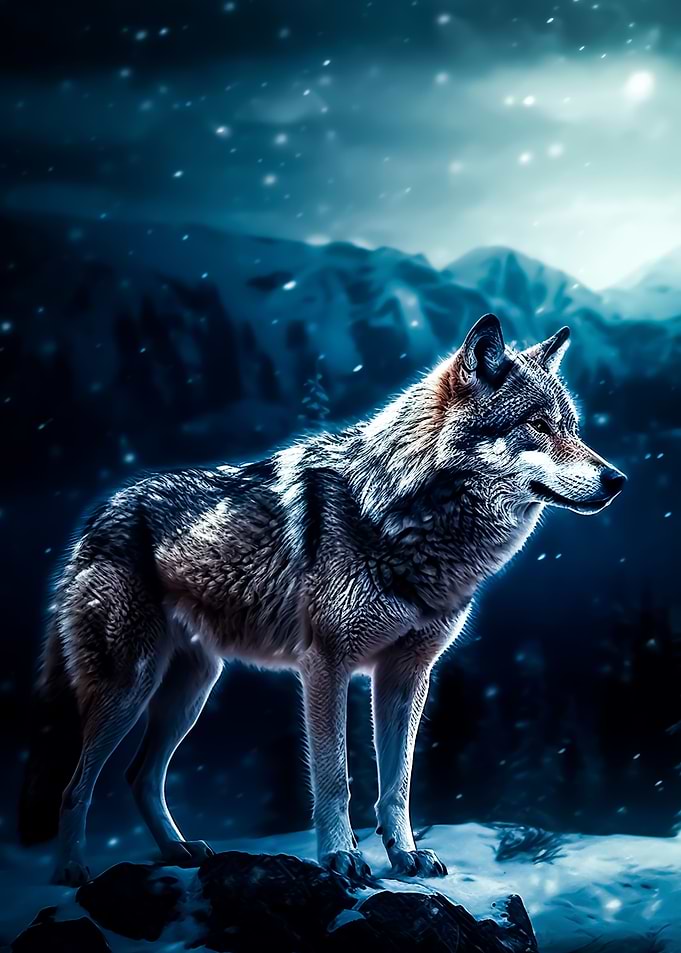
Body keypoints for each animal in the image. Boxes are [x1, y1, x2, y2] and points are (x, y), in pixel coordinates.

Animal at [19, 314, 625, 886]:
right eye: (538, 426)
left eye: (572, 428)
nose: (617, 479)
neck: (408, 517)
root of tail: (96, 513)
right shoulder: (325, 665)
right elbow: (336, 776)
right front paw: (341, 857)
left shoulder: (407, 674)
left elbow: (398, 783)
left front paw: (404, 856)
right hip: (130, 687)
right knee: (77, 785)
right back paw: (71, 871)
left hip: (192, 691)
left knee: (139, 776)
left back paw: (178, 851)